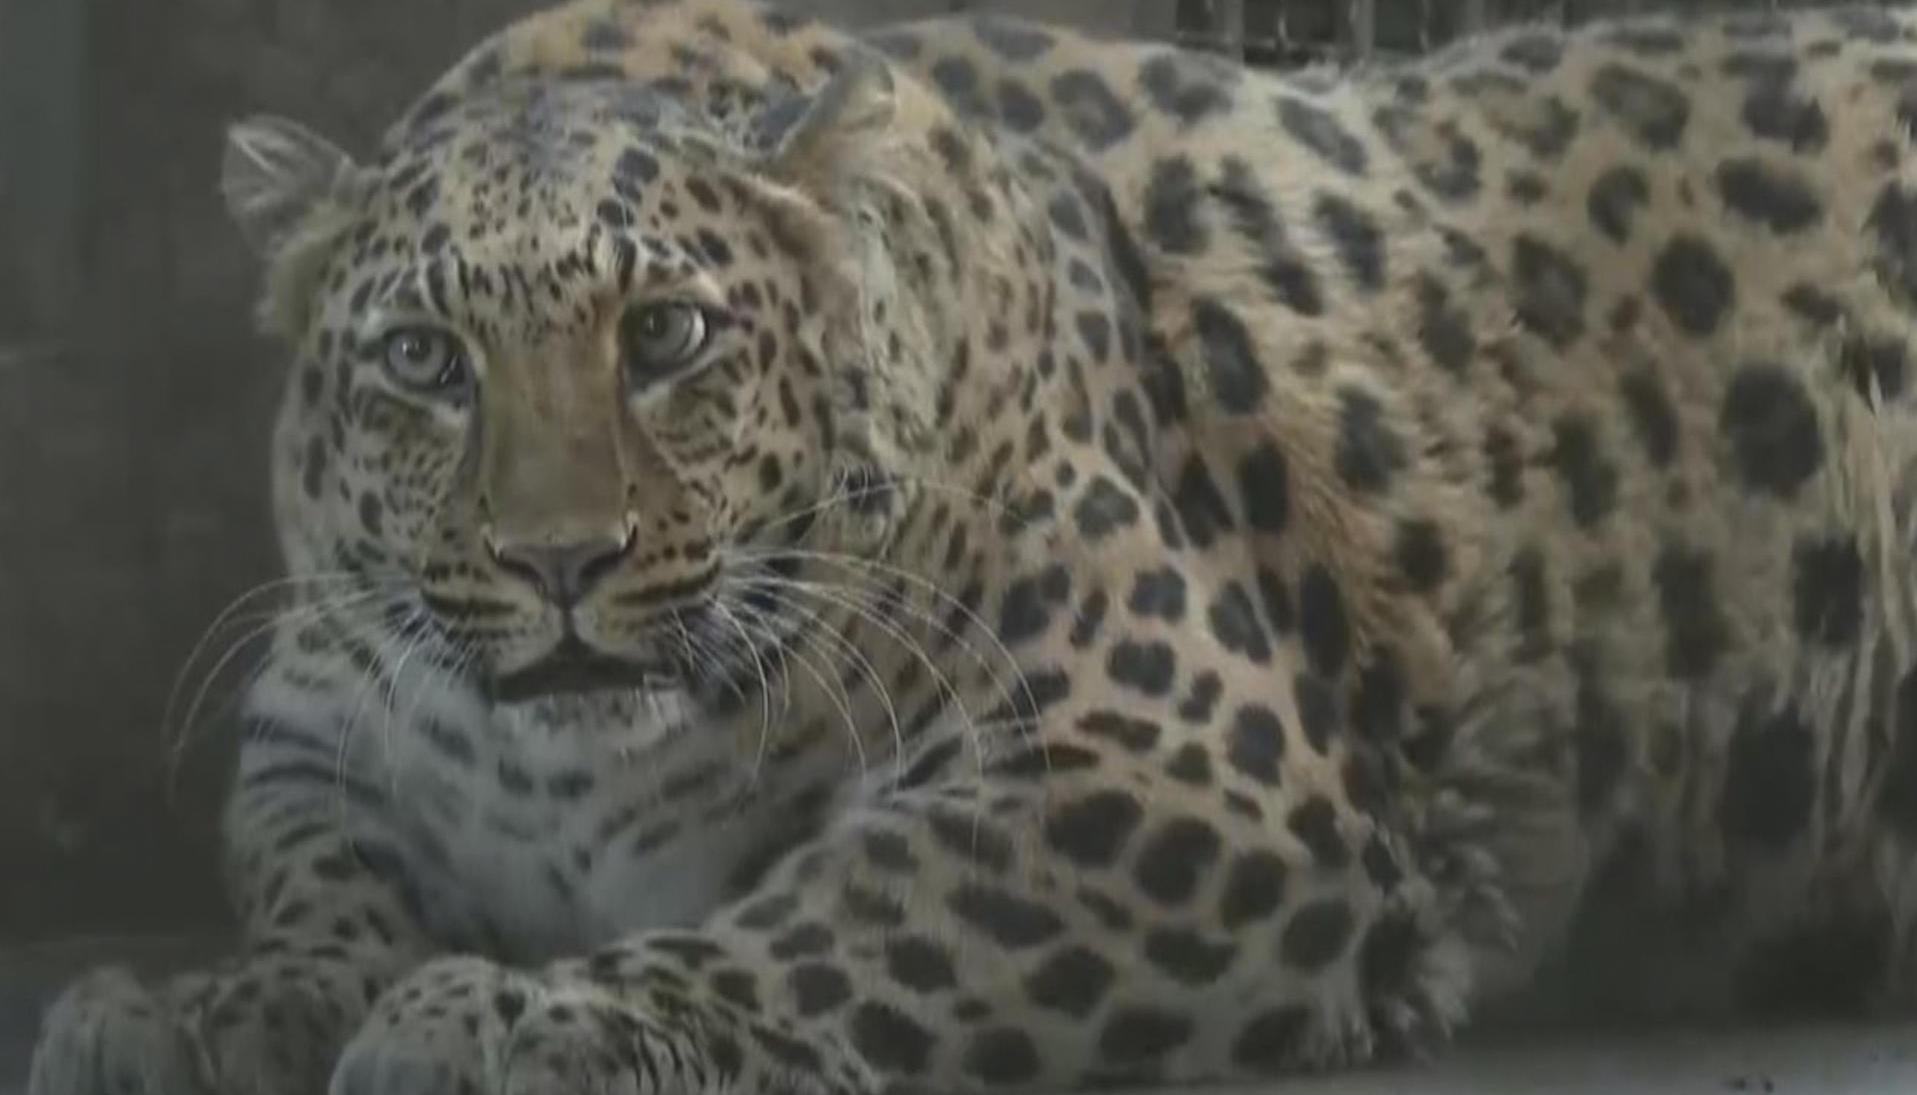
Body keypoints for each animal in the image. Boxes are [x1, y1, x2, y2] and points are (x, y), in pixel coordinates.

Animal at [28, 1, 1917, 1093]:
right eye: (425, 361)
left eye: (667, 337)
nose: (563, 562)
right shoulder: (313, 731)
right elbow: (320, 880)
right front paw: (200, 1009)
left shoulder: (1163, 758)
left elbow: (854, 913)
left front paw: (513, 1021)